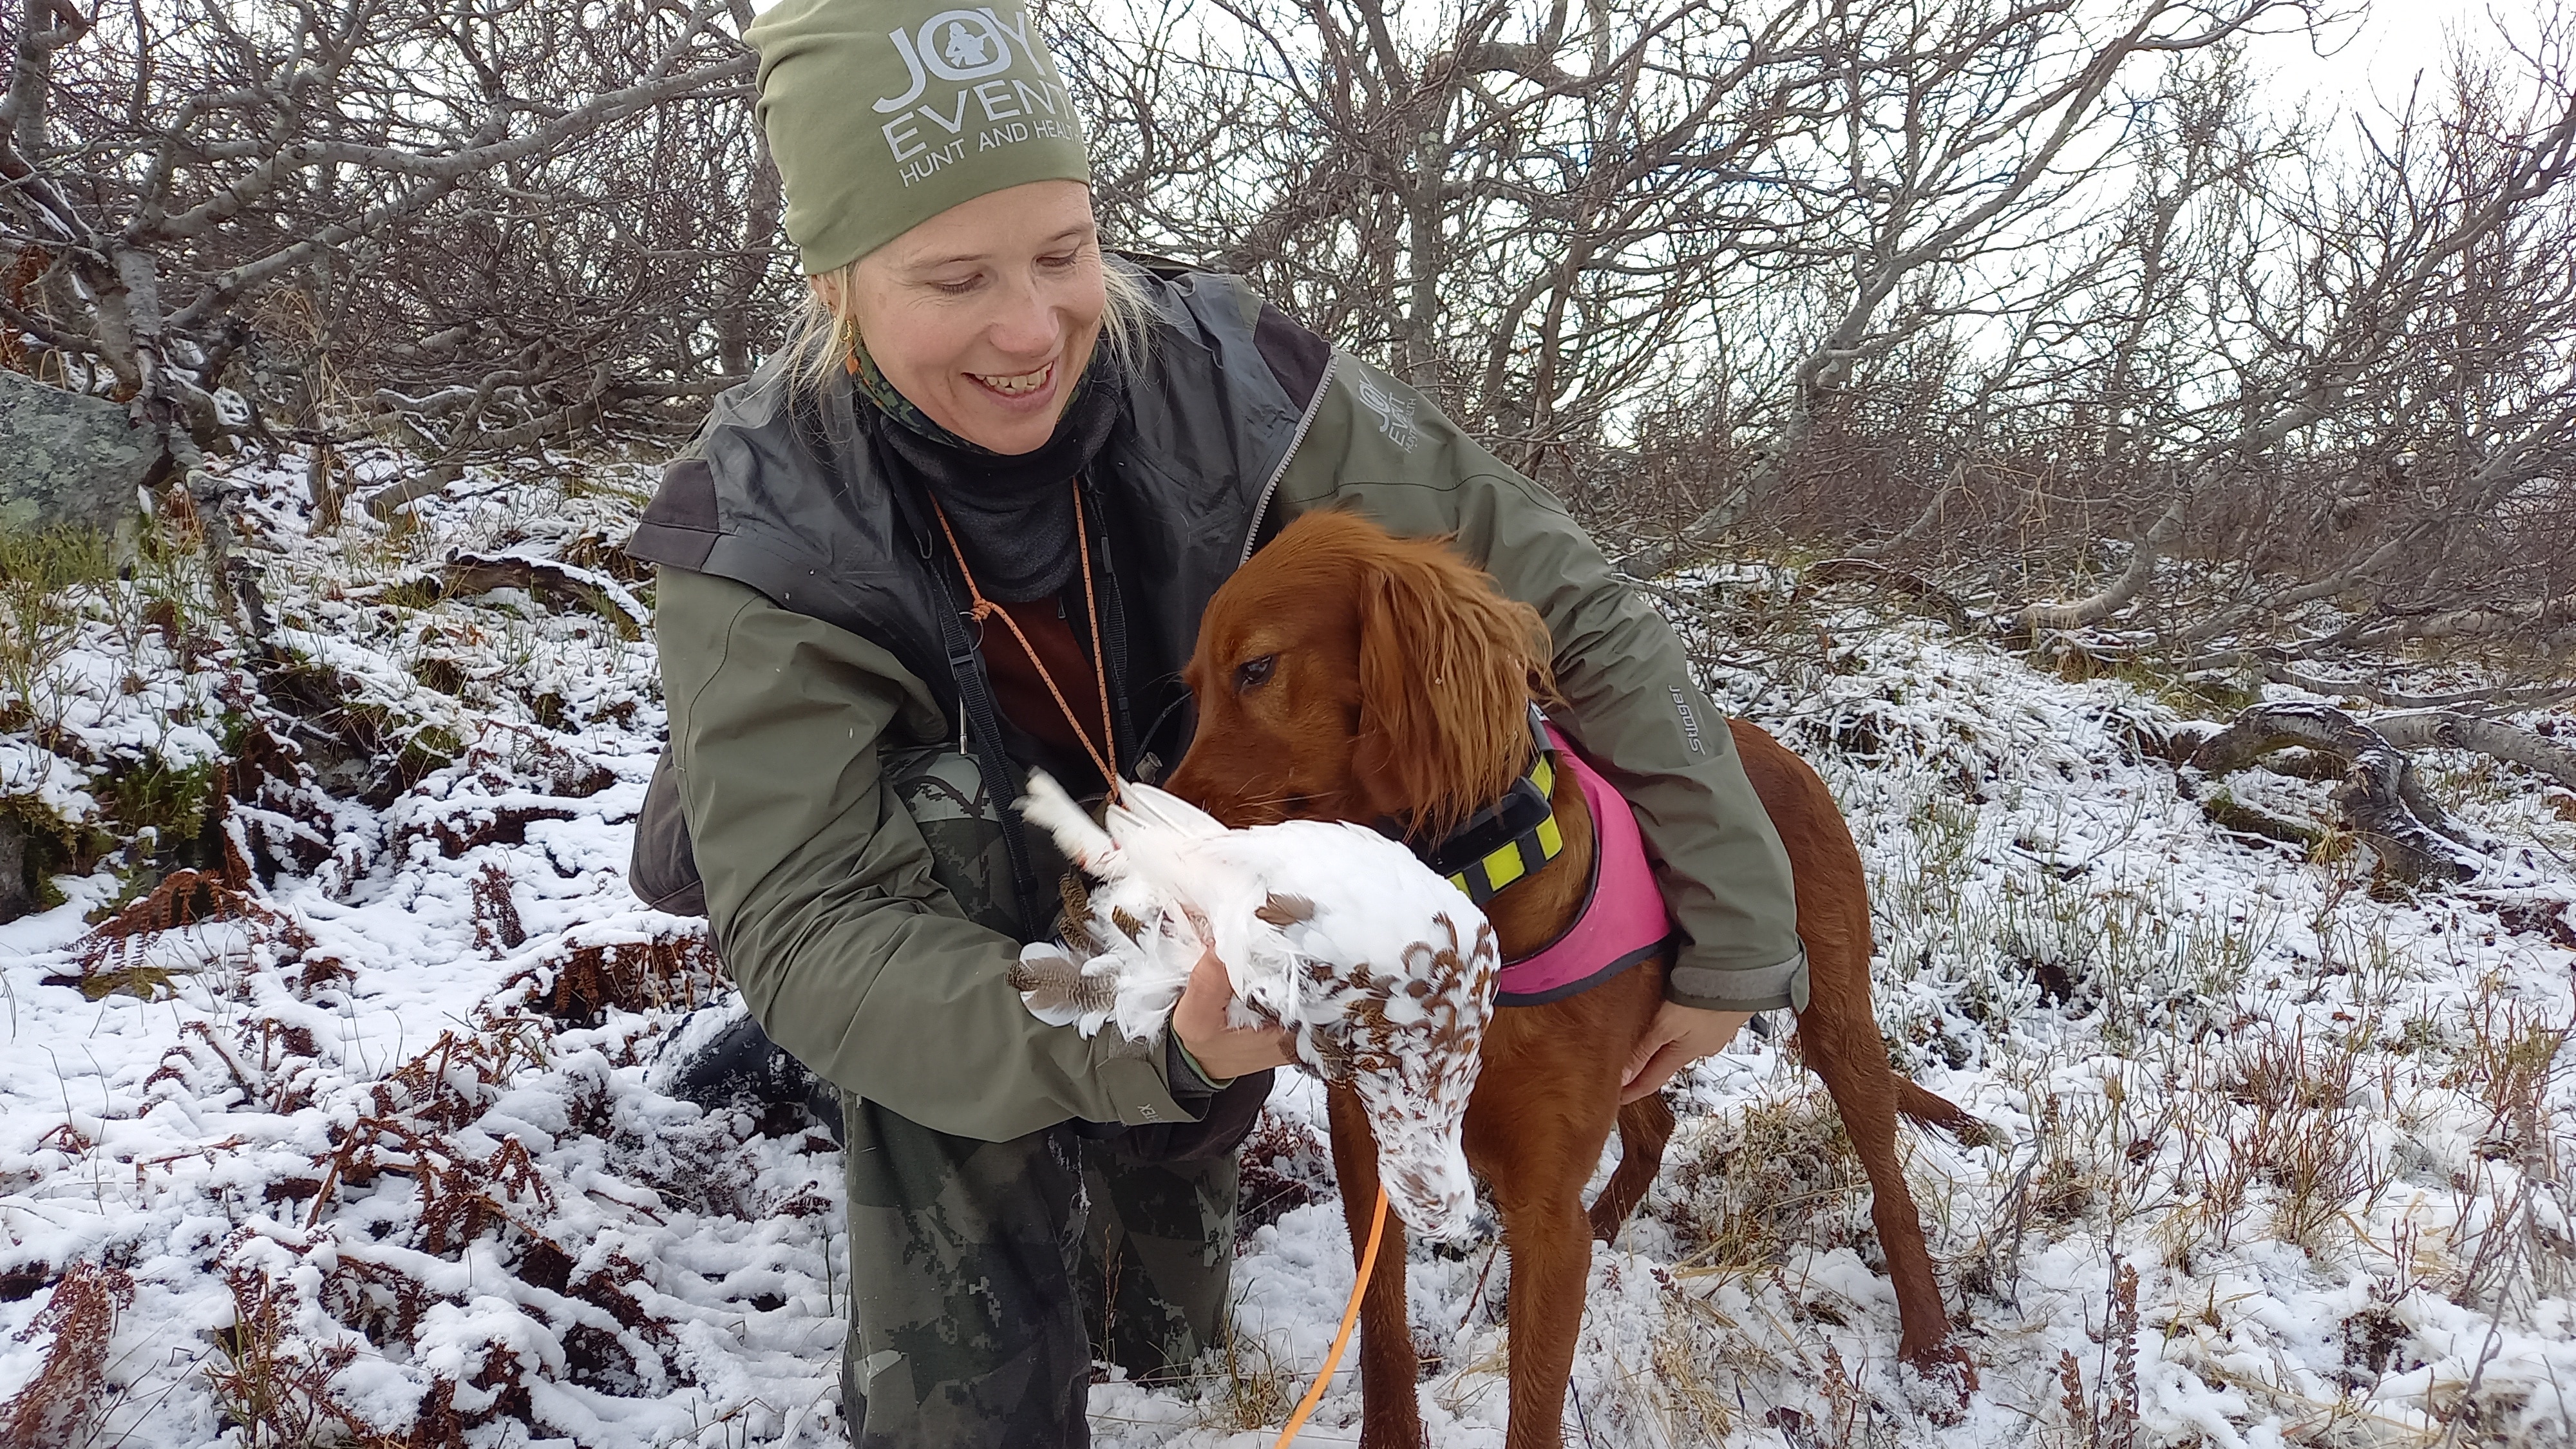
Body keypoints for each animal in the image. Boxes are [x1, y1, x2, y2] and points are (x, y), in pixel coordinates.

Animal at [1170, 513, 1968, 1433]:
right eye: (1195, 683)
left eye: (1256, 669)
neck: (1464, 903)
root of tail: (1769, 744)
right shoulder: (1370, 1154)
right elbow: (1380, 1336)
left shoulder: (1543, 1210)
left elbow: (1534, 1407)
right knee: (1652, 1128)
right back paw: (1611, 1228)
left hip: (1837, 1018)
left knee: (1887, 1179)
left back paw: (1932, 1350)